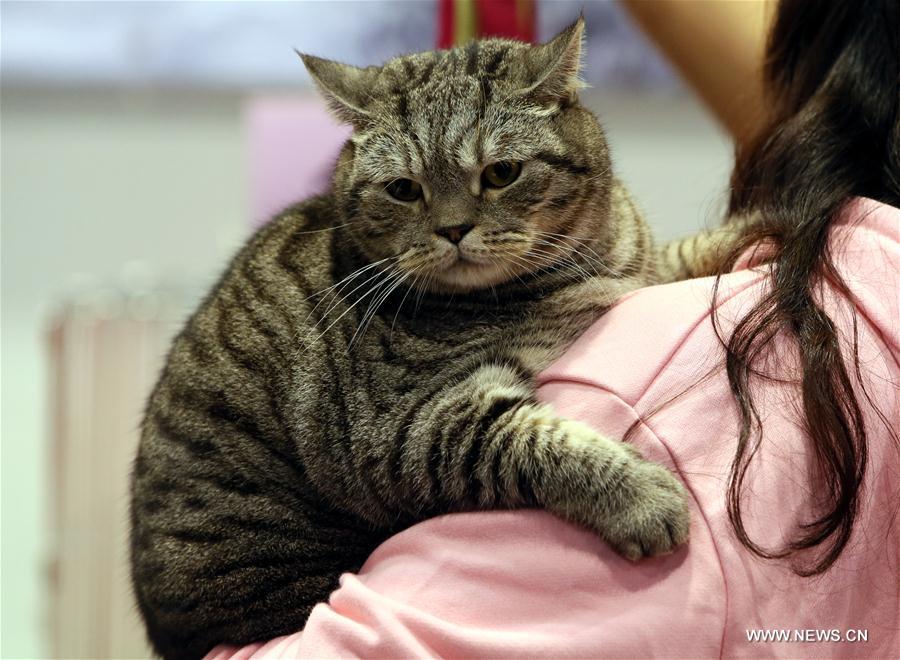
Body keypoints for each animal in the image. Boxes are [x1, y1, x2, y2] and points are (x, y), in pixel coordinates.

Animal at [130, 18, 688, 656]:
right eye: (403, 189)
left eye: (500, 173)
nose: (453, 229)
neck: (589, 263)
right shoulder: (405, 428)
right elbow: (538, 443)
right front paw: (641, 498)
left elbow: (682, 255)